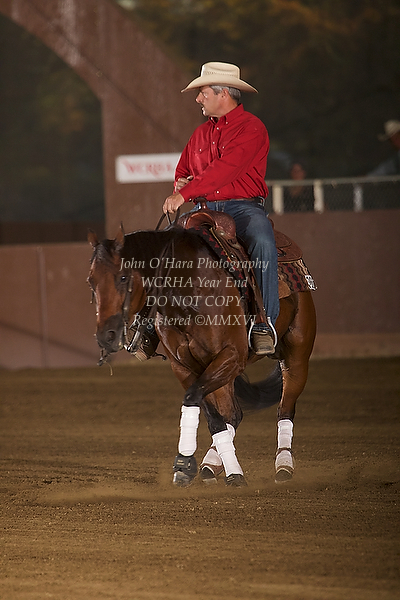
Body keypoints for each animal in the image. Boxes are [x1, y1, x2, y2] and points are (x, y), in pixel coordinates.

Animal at [87, 209, 316, 487]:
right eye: (91, 281)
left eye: (122, 277)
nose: (106, 336)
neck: (189, 291)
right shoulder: (184, 367)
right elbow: (207, 411)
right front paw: (211, 469)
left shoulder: (231, 356)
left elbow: (196, 400)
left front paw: (188, 462)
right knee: (233, 414)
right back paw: (211, 464)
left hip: (297, 356)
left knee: (285, 408)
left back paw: (284, 464)